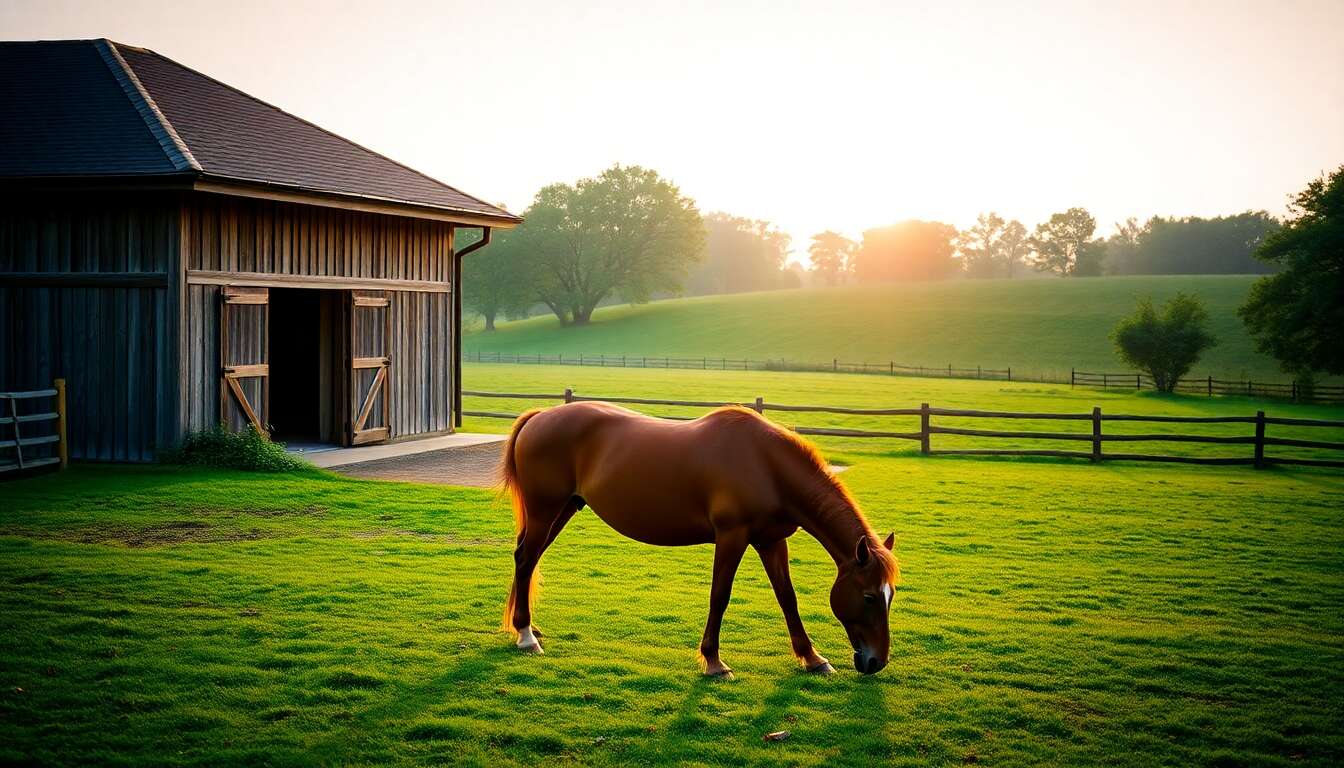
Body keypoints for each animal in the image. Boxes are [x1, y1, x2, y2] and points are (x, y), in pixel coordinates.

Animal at [499, 401, 899, 677]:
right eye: (868, 596)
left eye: (890, 596)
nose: (876, 661)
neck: (766, 464)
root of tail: (539, 416)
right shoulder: (732, 536)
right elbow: (719, 596)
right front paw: (714, 661)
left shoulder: (771, 541)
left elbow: (787, 597)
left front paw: (813, 658)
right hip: (544, 510)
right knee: (525, 558)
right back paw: (525, 636)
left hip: (563, 508)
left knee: (529, 559)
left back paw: (529, 627)